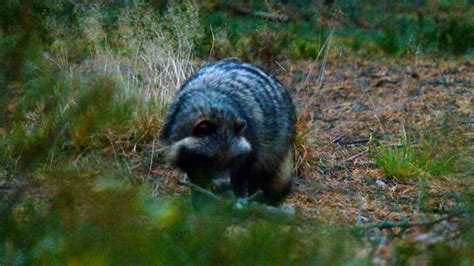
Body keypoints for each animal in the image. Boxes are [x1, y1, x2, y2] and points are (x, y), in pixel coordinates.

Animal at [163, 60, 296, 206]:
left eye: (232, 160)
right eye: (210, 159)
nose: (224, 185)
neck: (211, 107)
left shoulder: (251, 142)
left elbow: (242, 173)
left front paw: (239, 200)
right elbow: (196, 179)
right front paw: (200, 201)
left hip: (277, 141)